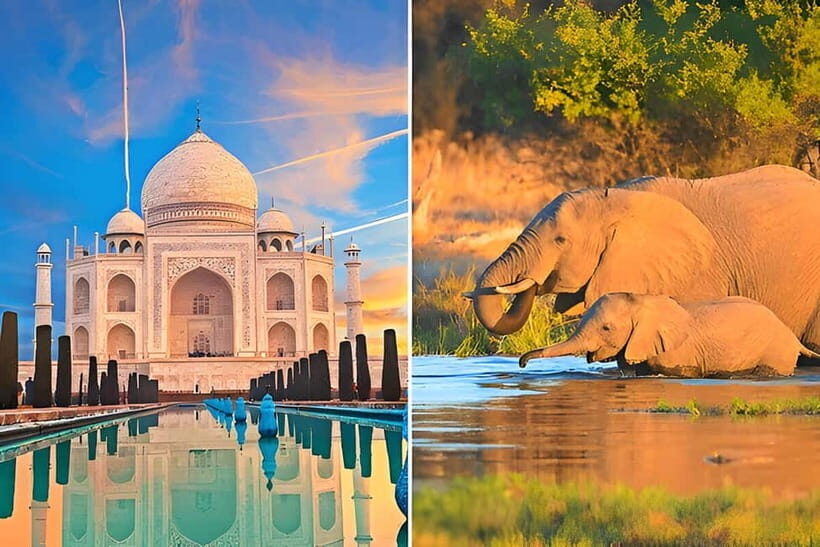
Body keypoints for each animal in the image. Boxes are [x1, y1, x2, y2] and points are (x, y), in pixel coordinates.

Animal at [519, 293, 819, 377]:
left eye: (606, 328)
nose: (521, 363)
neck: (642, 300)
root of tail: (792, 337)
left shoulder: (678, 352)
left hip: (776, 351)